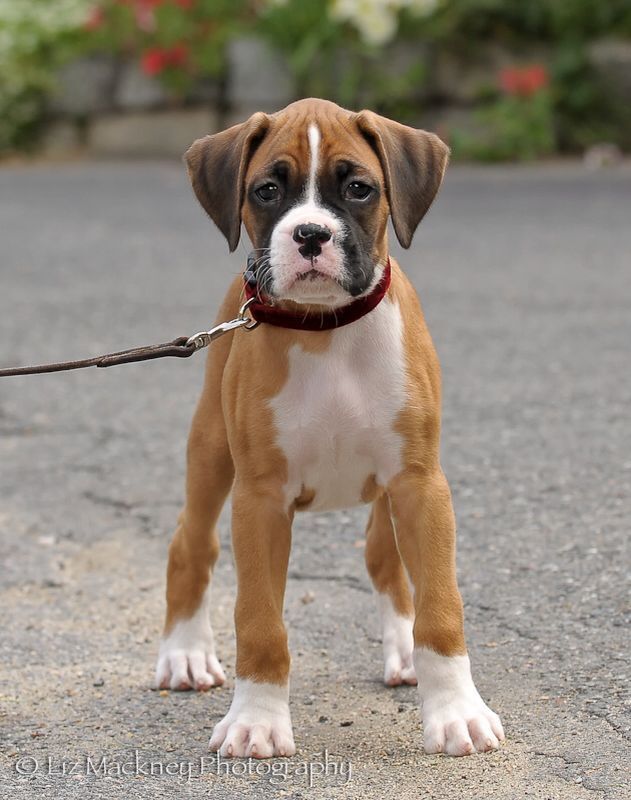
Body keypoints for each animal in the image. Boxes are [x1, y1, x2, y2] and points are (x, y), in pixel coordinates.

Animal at [156, 98, 506, 756]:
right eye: (267, 190)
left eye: (358, 188)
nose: (311, 234)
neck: (328, 330)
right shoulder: (261, 500)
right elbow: (259, 622)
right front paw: (256, 720)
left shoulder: (420, 486)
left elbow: (441, 609)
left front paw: (456, 712)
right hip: (211, 453)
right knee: (191, 543)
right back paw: (185, 654)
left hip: (389, 494)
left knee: (383, 559)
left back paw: (405, 654)